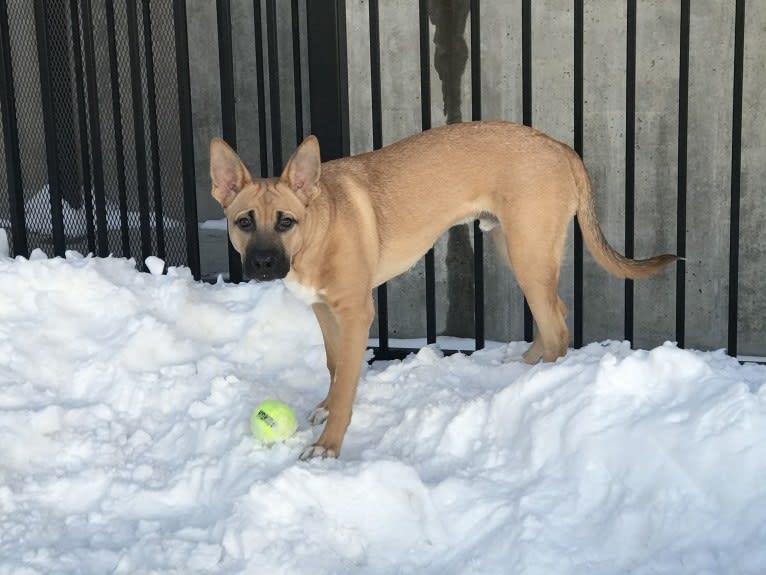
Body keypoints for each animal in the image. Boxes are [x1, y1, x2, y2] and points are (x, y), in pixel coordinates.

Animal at [210, 120, 680, 460]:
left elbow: (346, 386)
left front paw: (329, 443)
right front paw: (325, 406)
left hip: (528, 251)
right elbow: (334, 366)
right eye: (244, 222)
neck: (317, 230)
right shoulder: (324, 312)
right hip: (514, 247)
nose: (263, 265)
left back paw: (544, 391)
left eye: (285, 222)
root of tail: (560, 146)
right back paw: (525, 368)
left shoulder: (356, 313)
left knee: (558, 327)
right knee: (556, 315)